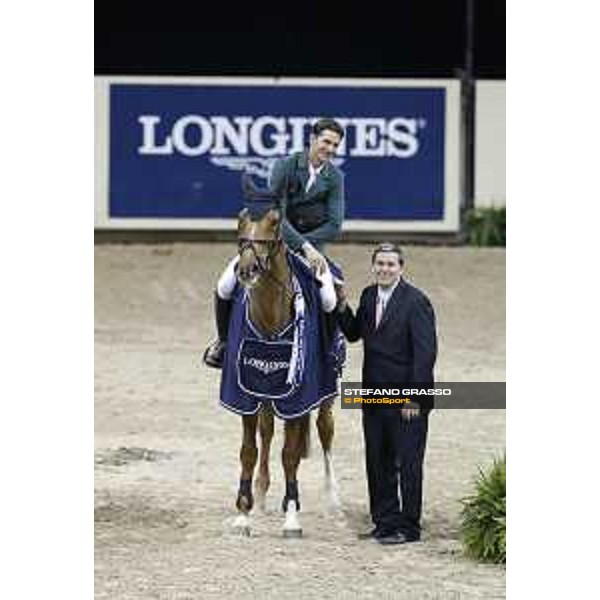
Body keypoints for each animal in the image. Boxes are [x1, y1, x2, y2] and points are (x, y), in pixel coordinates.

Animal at [223, 204, 340, 536]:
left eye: (272, 231)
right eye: (241, 235)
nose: (246, 271)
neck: (268, 319)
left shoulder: (297, 400)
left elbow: (290, 455)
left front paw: (291, 517)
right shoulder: (246, 395)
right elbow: (249, 451)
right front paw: (243, 513)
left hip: (326, 392)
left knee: (325, 431)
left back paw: (332, 500)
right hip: (267, 398)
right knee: (267, 432)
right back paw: (262, 494)